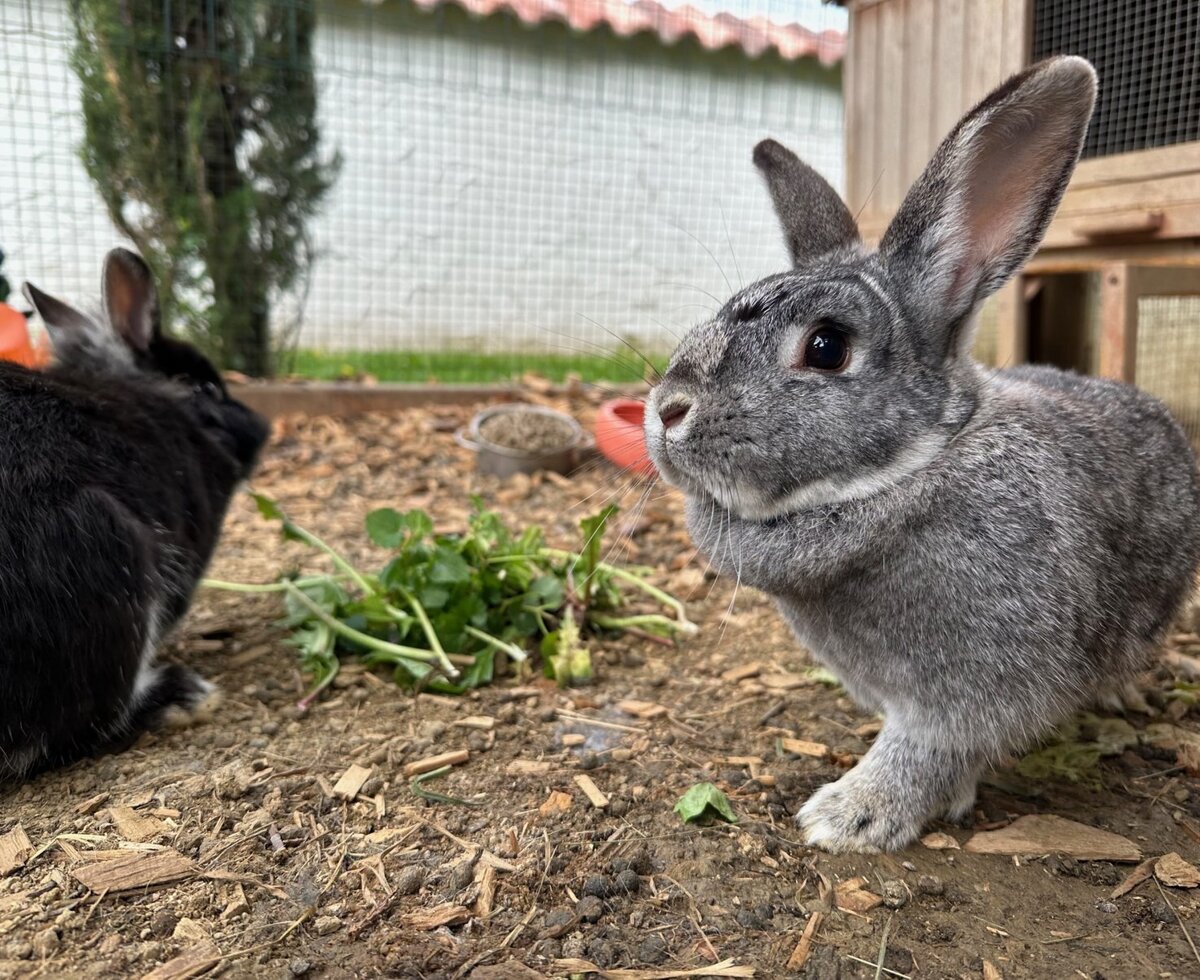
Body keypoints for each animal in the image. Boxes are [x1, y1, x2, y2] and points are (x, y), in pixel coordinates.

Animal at [644, 56, 1200, 853]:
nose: (667, 410)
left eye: (826, 346)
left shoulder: (968, 692)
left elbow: (924, 748)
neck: (905, 478)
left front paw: (850, 814)